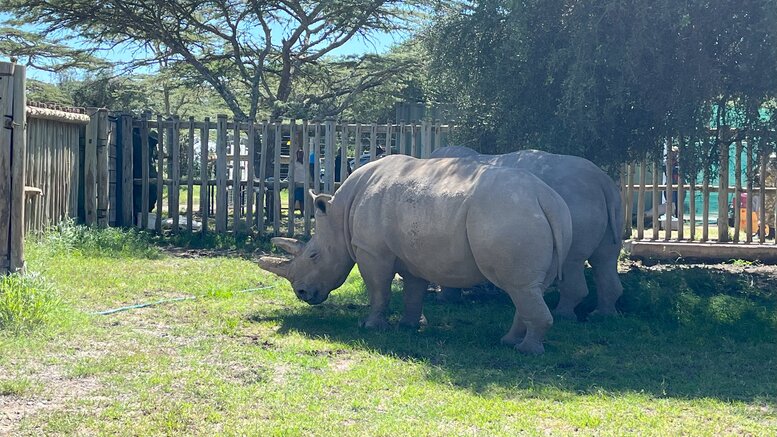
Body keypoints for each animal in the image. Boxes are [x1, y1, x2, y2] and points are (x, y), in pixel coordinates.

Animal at [260, 155, 568, 352]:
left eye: (313, 255)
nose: (302, 294)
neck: (340, 215)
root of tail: (545, 198)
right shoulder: (413, 255)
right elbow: (412, 291)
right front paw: (408, 326)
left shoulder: (372, 251)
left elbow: (379, 290)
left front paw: (370, 326)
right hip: (538, 216)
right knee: (527, 289)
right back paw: (509, 342)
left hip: (508, 215)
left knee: (519, 287)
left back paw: (526, 351)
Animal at [430, 145, 624, 318]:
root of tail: (602, 181)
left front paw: (444, 300)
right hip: (610, 203)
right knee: (605, 259)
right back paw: (602, 315)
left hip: (576, 202)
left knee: (571, 261)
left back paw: (562, 315)